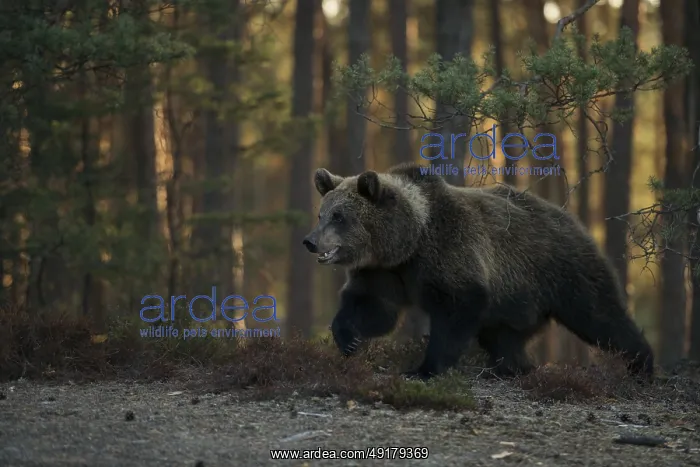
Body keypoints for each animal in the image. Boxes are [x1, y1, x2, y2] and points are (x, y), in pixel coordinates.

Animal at [302, 162, 655, 381]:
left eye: (339, 216)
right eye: (322, 213)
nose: (310, 241)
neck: (408, 241)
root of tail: (571, 218)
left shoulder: (448, 255)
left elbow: (455, 309)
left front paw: (425, 368)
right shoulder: (386, 272)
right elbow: (373, 307)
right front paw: (347, 339)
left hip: (562, 268)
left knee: (599, 315)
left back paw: (642, 364)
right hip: (515, 300)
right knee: (503, 337)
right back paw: (512, 367)